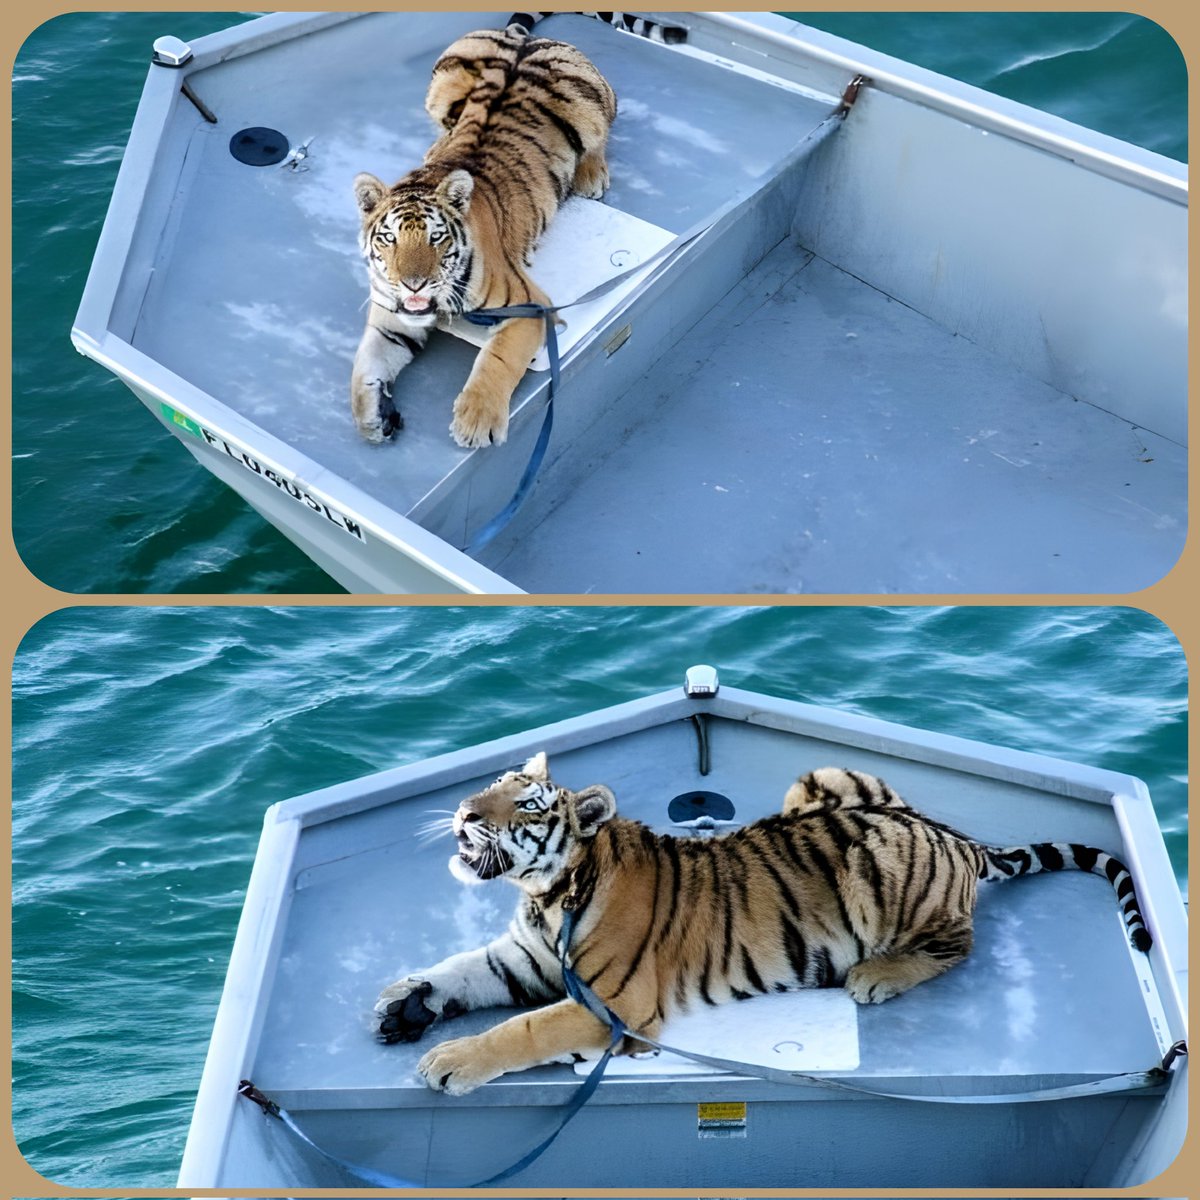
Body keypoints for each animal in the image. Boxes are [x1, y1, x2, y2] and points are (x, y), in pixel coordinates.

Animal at [350, 23, 617, 448]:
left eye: (436, 237)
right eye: (388, 238)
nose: (413, 285)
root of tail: (522, 37)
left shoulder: (531, 307)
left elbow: (498, 357)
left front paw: (475, 421)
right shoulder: (391, 318)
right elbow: (364, 362)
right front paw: (370, 418)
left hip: (588, 101)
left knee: (600, 135)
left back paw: (592, 175)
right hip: (443, 81)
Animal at [375, 753, 1151, 1095]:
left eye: (526, 805)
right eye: (491, 786)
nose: (465, 814)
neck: (548, 894)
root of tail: (955, 837)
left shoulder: (614, 1004)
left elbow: (523, 1028)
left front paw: (448, 1061)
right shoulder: (524, 957)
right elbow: (461, 969)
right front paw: (405, 1001)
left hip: (879, 863)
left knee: (960, 941)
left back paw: (876, 975)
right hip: (824, 779)